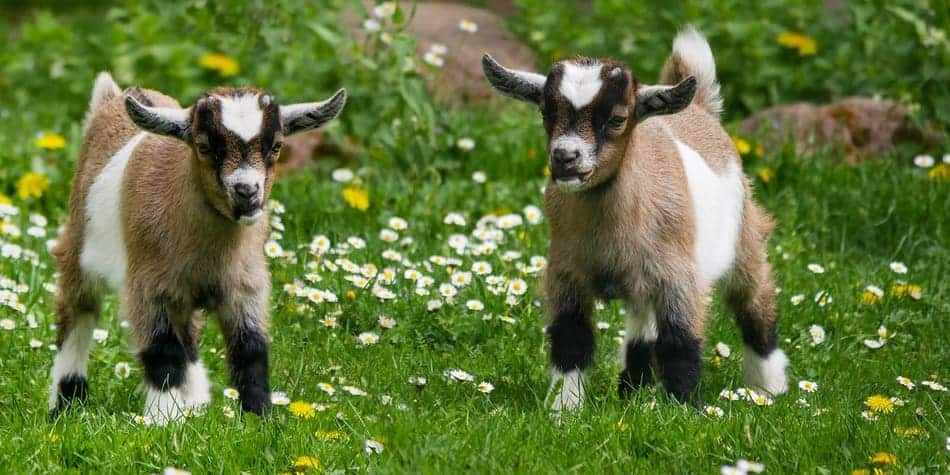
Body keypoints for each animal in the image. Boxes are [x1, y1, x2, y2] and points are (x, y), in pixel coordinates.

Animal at [49, 72, 346, 424]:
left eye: (276, 146)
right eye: (204, 146)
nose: (247, 192)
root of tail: (113, 97)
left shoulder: (247, 286)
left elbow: (251, 350)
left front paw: (259, 417)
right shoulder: (149, 287)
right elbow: (162, 352)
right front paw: (162, 421)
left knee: (188, 338)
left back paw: (196, 404)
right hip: (78, 250)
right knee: (77, 313)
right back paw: (65, 403)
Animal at [482, 27, 787, 410]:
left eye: (617, 119)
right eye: (544, 113)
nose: (565, 157)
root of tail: (700, 109)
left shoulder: (679, 277)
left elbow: (680, 342)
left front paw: (684, 409)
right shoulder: (566, 272)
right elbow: (571, 338)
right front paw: (563, 409)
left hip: (744, 238)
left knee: (754, 302)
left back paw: (768, 389)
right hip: (643, 282)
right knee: (643, 327)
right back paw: (632, 389)